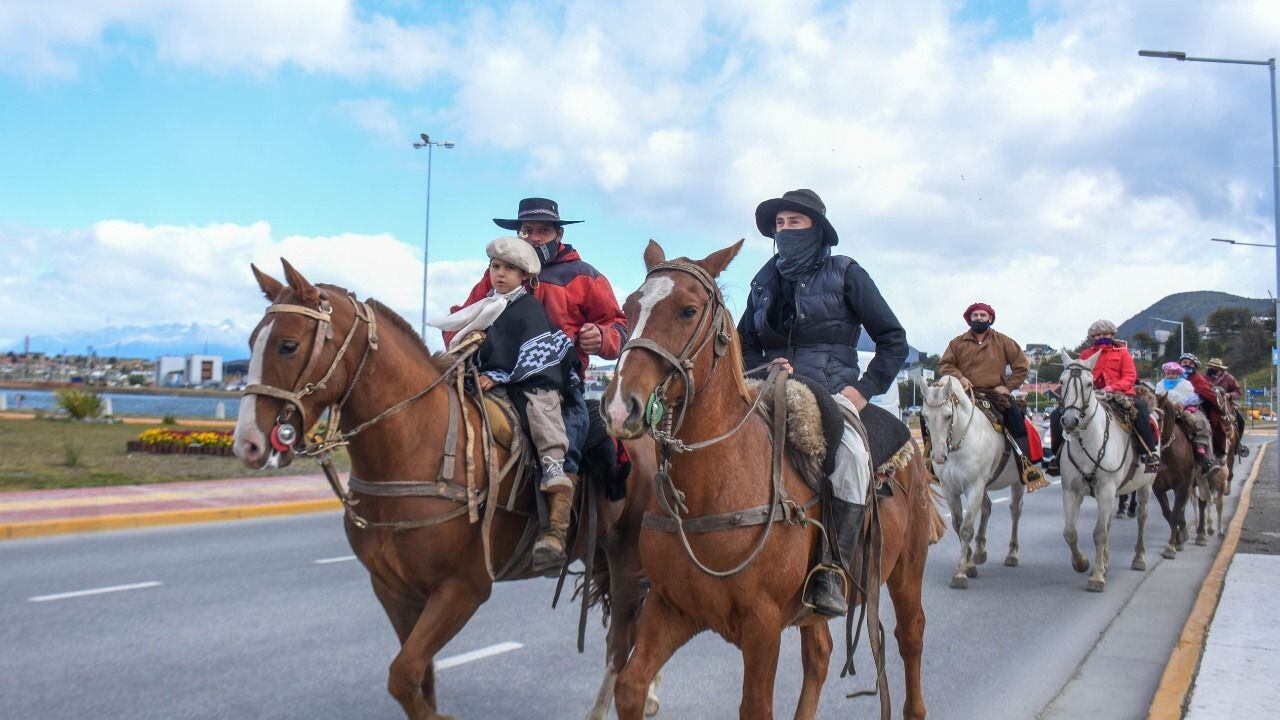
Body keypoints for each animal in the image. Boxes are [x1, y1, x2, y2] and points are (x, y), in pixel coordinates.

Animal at [232, 258, 660, 717]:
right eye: (252, 341)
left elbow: (402, 674)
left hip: (627, 561)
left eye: (288, 346)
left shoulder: (463, 590)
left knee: (622, 642)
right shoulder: (393, 590)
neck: (417, 446)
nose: (248, 443)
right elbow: (419, 677)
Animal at [599, 240, 942, 717]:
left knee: (911, 636)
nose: (619, 408)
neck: (715, 487)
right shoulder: (669, 607)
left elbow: (755, 706)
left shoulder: (761, 626)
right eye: (630, 308)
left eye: (688, 310)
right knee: (820, 654)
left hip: (907, 571)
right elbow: (630, 687)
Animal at [921, 371, 1029, 586]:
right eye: (925, 416)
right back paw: (980, 551)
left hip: (1017, 483)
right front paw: (970, 562)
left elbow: (966, 529)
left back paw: (1012, 554)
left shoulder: (975, 486)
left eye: (948, 416)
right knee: (987, 508)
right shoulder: (949, 489)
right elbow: (957, 524)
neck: (959, 444)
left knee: (1015, 511)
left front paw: (961, 573)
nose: (938, 456)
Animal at [1054, 348, 1157, 589]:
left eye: (1089, 384)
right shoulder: (1071, 491)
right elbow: (1070, 532)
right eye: (1061, 381)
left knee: (1141, 517)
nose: (1070, 420)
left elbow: (1099, 532)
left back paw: (1139, 558)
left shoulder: (1106, 489)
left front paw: (1097, 577)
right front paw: (1082, 563)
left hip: (1145, 485)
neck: (1089, 441)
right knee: (1109, 523)